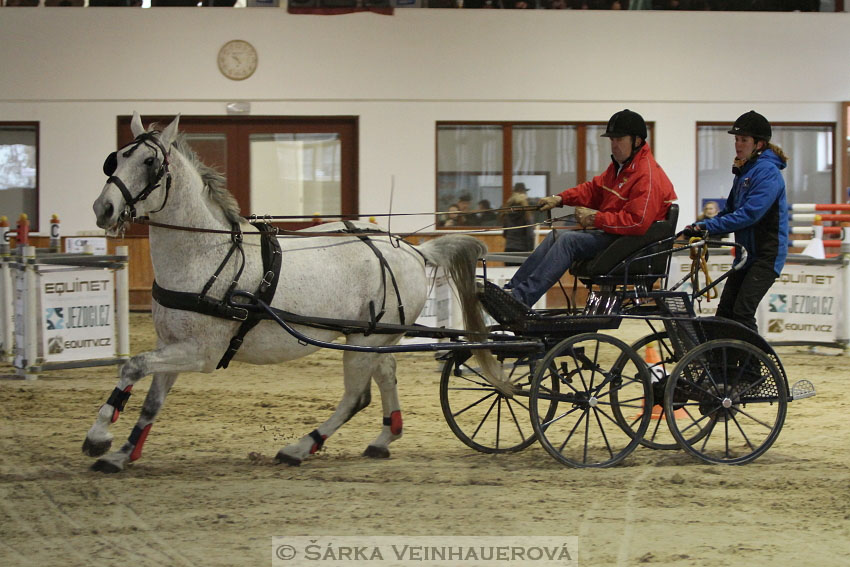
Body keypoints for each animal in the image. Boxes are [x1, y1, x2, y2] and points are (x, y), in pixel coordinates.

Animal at [86, 113, 504, 472]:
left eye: (149, 162)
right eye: (116, 158)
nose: (103, 208)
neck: (205, 254)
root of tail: (415, 250)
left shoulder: (201, 352)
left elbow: (132, 365)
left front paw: (98, 436)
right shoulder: (172, 344)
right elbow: (150, 403)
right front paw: (121, 453)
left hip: (365, 340)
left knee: (357, 396)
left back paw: (301, 447)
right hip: (375, 339)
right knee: (386, 376)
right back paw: (384, 438)